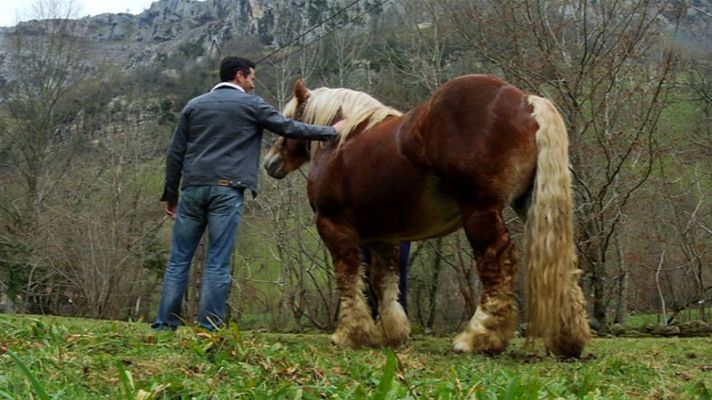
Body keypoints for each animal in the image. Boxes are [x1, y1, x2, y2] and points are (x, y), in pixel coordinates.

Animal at [263, 75, 590, 358]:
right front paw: (392, 332)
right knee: (564, 262)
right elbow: (385, 281)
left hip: (480, 212)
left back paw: (479, 337)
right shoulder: (382, 237)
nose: (270, 162)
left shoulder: (334, 227)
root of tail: (525, 101)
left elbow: (348, 277)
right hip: (530, 207)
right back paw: (569, 338)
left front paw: (351, 333)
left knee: (498, 263)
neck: (340, 140)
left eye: (289, 119)